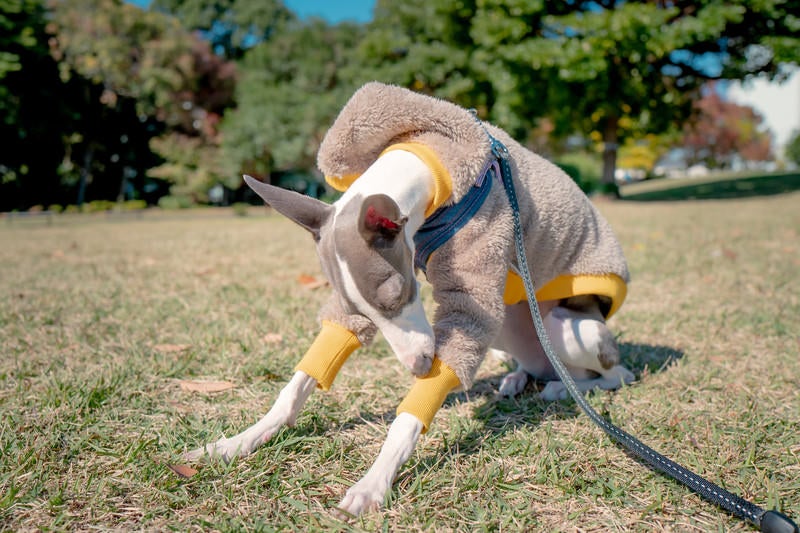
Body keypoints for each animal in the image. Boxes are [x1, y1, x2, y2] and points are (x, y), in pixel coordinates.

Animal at [184, 82, 636, 516]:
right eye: (364, 311)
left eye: (403, 293)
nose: (419, 368)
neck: (428, 161)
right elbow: (298, 384)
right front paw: (237, 442)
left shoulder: (475, 275)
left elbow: (414, 407)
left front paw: (373, 482)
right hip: (510, 325)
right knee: (536, 362)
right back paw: (518, 377)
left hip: (570, 328)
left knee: (615, 374)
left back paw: (563, 389)